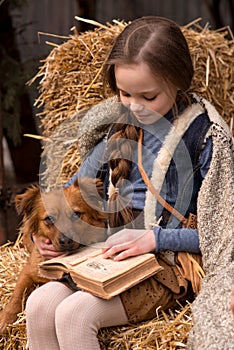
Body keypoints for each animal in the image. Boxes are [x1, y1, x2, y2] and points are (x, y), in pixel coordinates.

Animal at [0, 178, 106, 334]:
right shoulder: (28, 271)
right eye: (49, 219)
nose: (66, 240)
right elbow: (17, 295)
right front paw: (5, 318)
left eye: (76, 214)